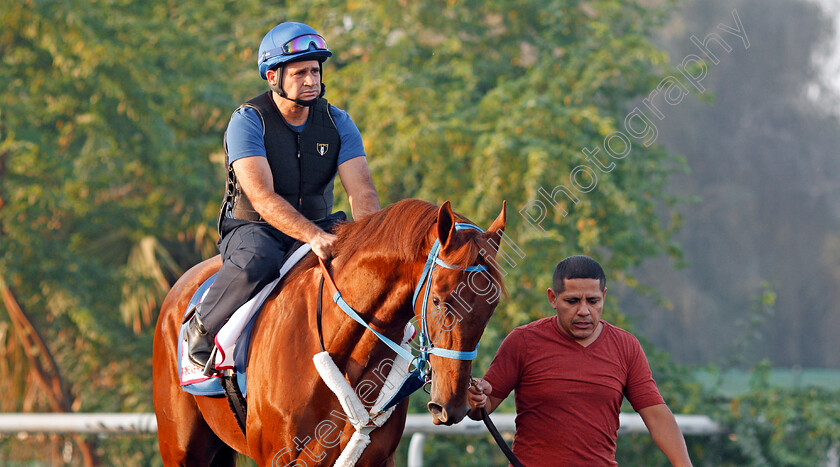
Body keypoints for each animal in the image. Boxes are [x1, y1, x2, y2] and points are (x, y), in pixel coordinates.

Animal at [153, 199, 506, 466]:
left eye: (492, 305)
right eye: (437, 300)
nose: (453, 404)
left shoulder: (375, 458)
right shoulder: (281, 458)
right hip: (182, 450)